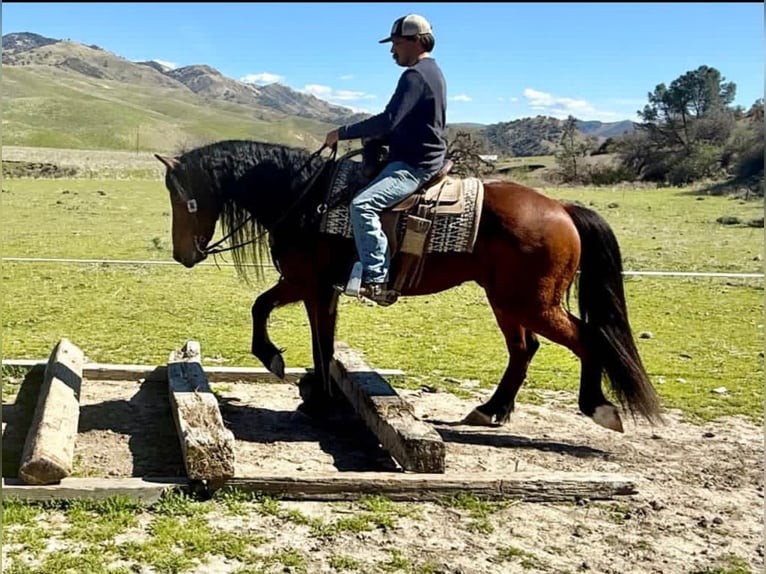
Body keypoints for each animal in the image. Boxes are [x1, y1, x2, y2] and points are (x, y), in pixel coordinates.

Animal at [153, 140, 664, 434]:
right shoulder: (313, 286)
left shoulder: (309, 283)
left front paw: (304, 385)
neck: (306, 197)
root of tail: (560, 207)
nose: (182, 254)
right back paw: (491, 410)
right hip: (507, 301)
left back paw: (597, 407)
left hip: (531, 302)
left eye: (181, 195)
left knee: (585, 338)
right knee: (525, 349)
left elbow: (300, 330)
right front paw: (306, 383)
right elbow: (296, 326)